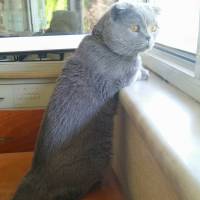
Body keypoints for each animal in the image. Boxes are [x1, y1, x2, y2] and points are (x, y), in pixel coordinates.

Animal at [11, 1, 159, 200]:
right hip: (97, 156)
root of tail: (35, 173)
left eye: (154, 28)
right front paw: (145, 72)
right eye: (135, 28)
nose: (149, 38)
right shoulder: (124, 75)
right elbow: (135, 70)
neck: (103, 43)